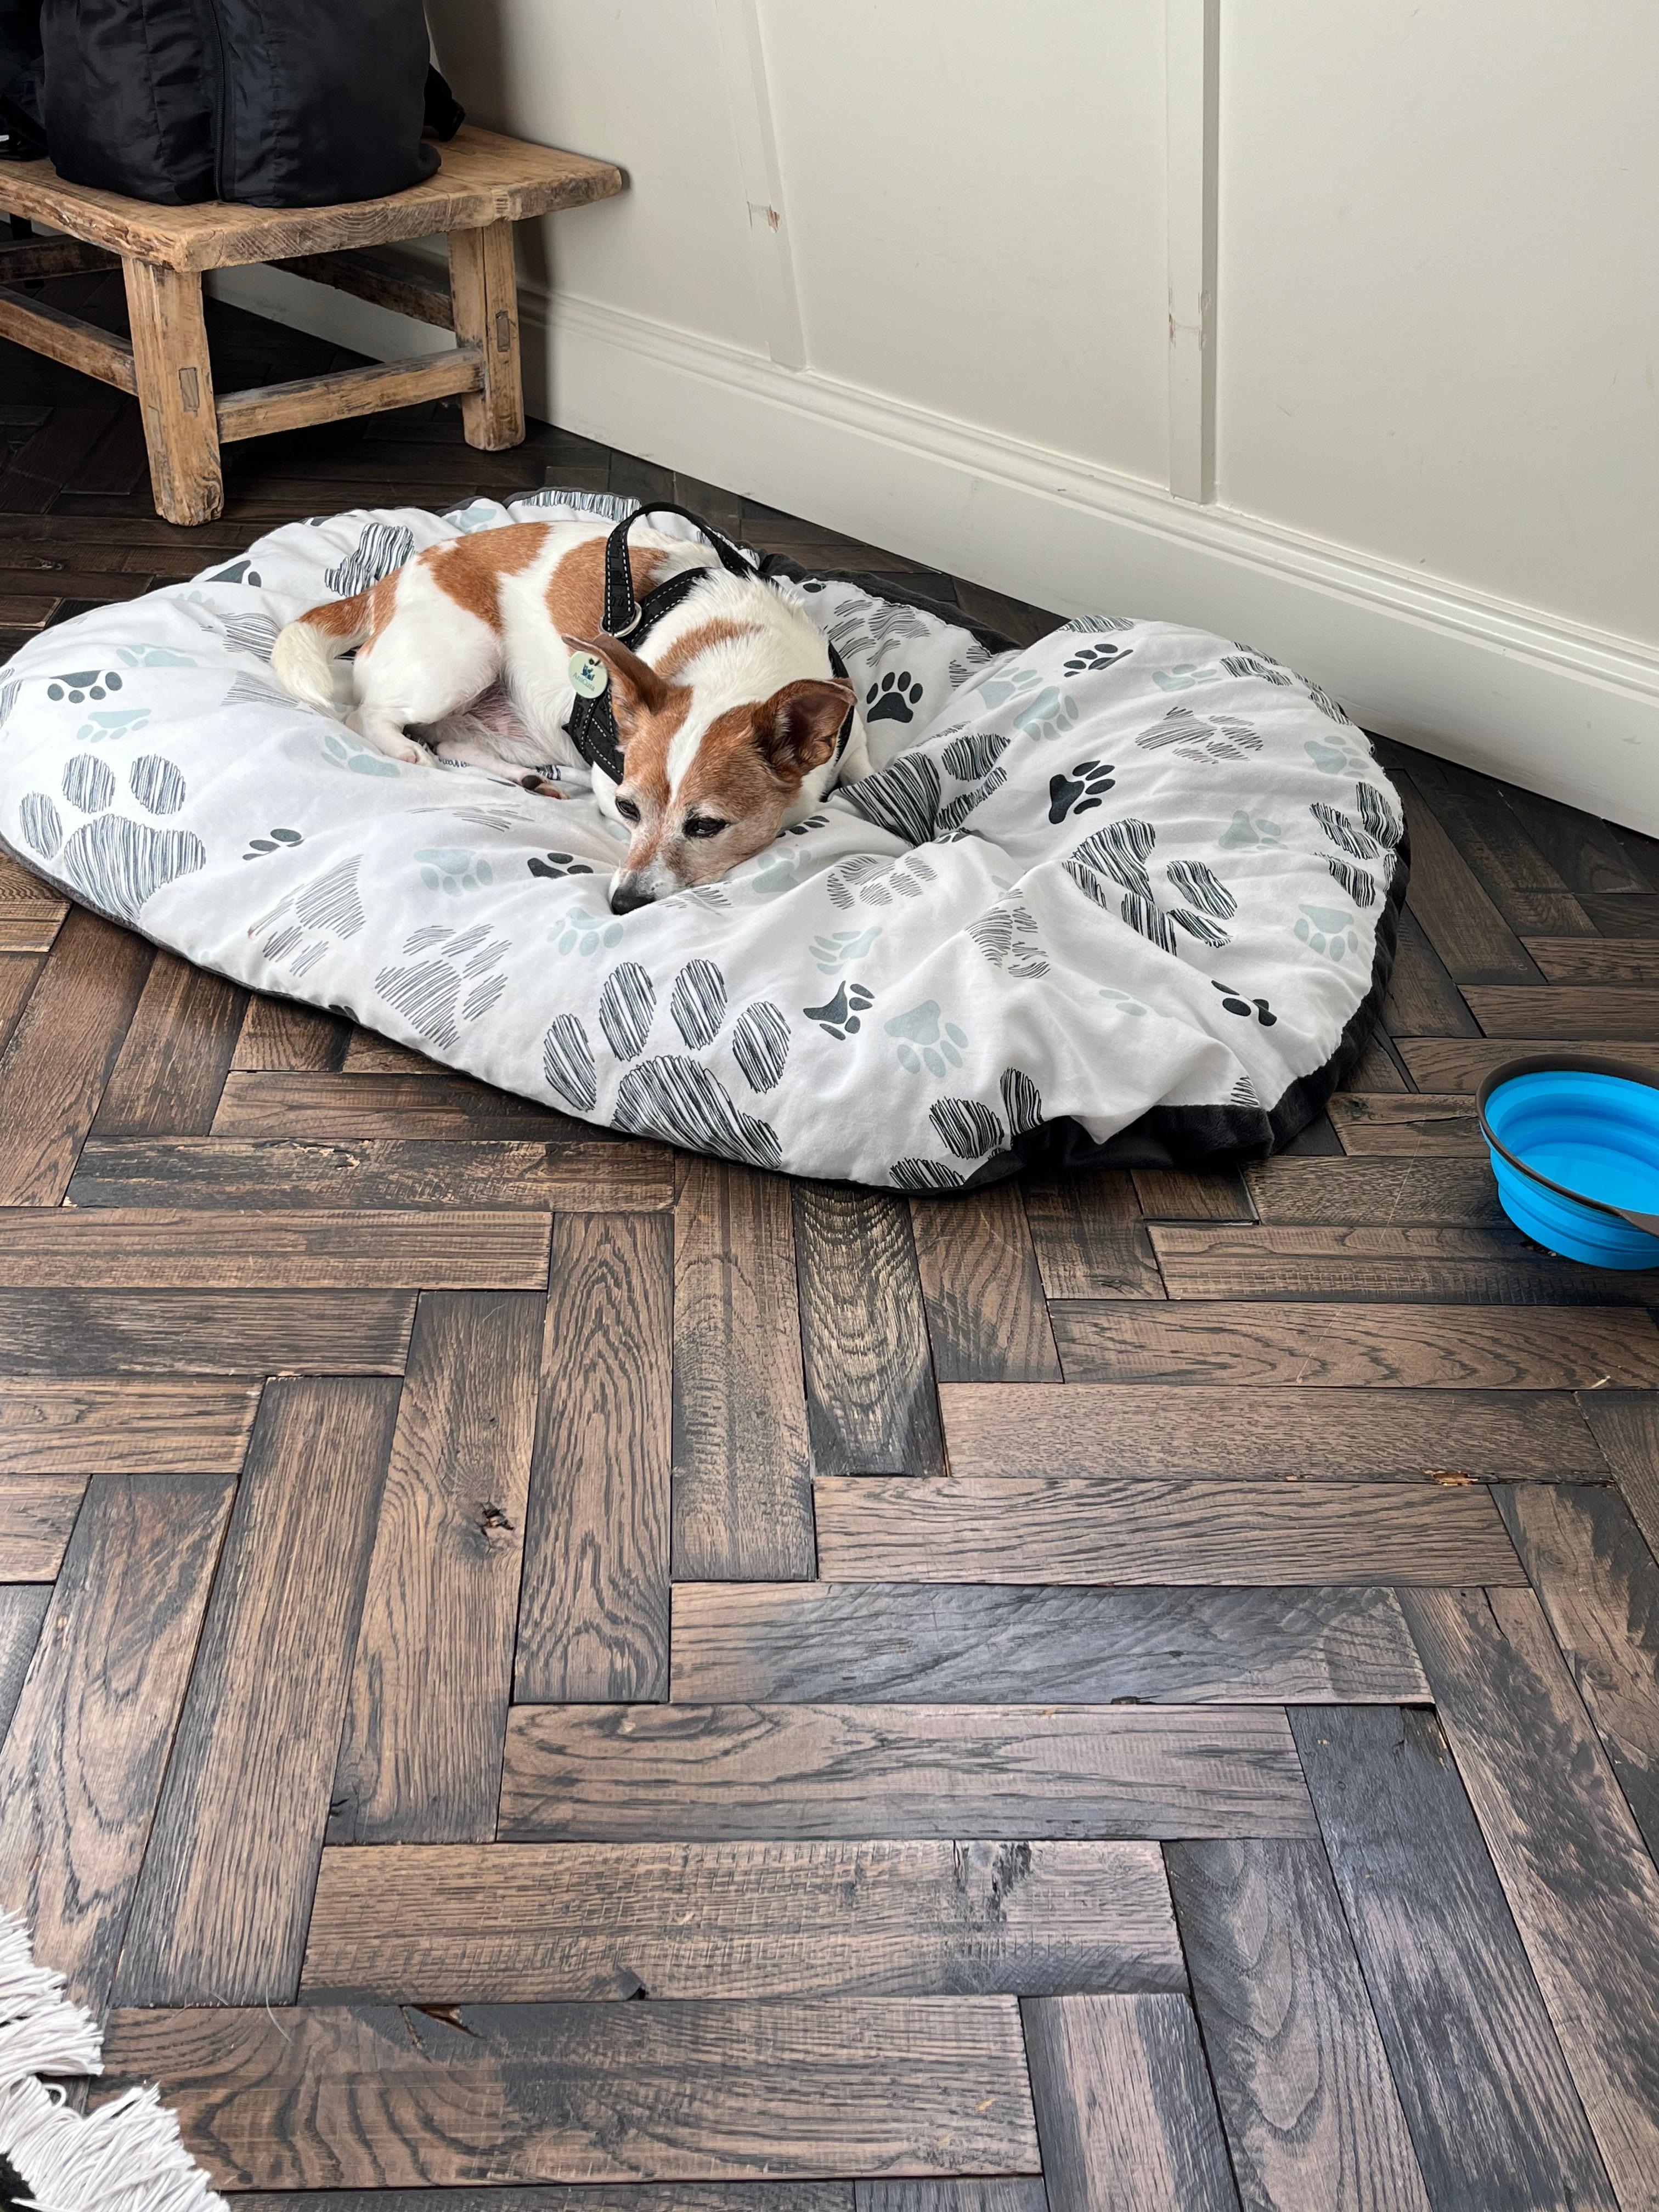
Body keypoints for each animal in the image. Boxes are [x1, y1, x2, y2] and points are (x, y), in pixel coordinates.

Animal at [271, 518, 869, 911]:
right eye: (628, 810)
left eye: (704, 826)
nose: (623, 903)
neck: (737, 668)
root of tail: (389, 583)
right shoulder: (610, 777)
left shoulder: (853, 736)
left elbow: (861, 775)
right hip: (463, 660)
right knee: (366, 715)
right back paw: (405, 750)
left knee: (452, 736)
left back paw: (525, 778)